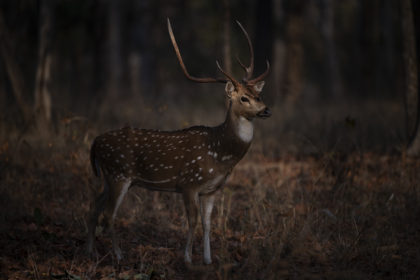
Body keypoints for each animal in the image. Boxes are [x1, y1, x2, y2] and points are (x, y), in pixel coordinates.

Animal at [86, 18, 270, 264]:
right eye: (243, 98)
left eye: (258, 95)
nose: (265, 110)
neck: (220, 152)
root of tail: (95, 142)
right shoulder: (188, 183)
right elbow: (192, 222)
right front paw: (188, 258)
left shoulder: (212, 189)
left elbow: (208, 224)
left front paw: (208, 260)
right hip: (119, 173)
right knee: (108, 214)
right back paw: (117, 255)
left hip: (110, 177)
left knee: (93, 206)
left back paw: (91, 252)